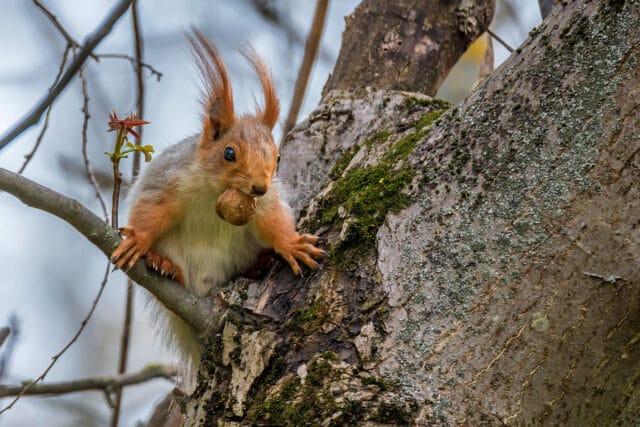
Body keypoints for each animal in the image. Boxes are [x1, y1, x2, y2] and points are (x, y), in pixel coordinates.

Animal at [109, 30, 324, 382]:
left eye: (278, 158)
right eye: (229, 153)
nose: (260, 186)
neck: (216, 192)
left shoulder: (263, 205)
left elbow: (273, 220)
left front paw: (291, 244)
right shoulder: (169, 181)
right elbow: (151, 210)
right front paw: (138, 240)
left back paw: (260, 264)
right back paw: (162, 263)